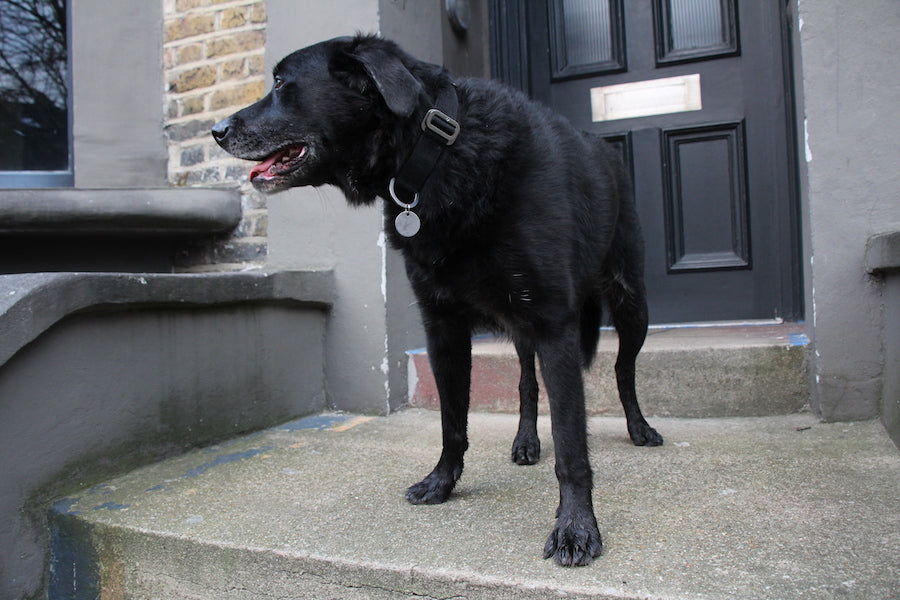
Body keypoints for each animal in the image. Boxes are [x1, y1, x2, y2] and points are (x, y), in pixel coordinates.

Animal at [211, 34, 660, 568]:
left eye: (281, 83)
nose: (216, 130)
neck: (442, 154)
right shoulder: (443, 326)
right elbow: (452, 421)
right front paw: (442, 483)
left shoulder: (554, 322)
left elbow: (573, 444)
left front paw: (576, 527)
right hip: (523, 327)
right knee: (528, 383)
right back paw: (526, 440)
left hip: (631, 303)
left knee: (623, 370)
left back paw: (639, 428)